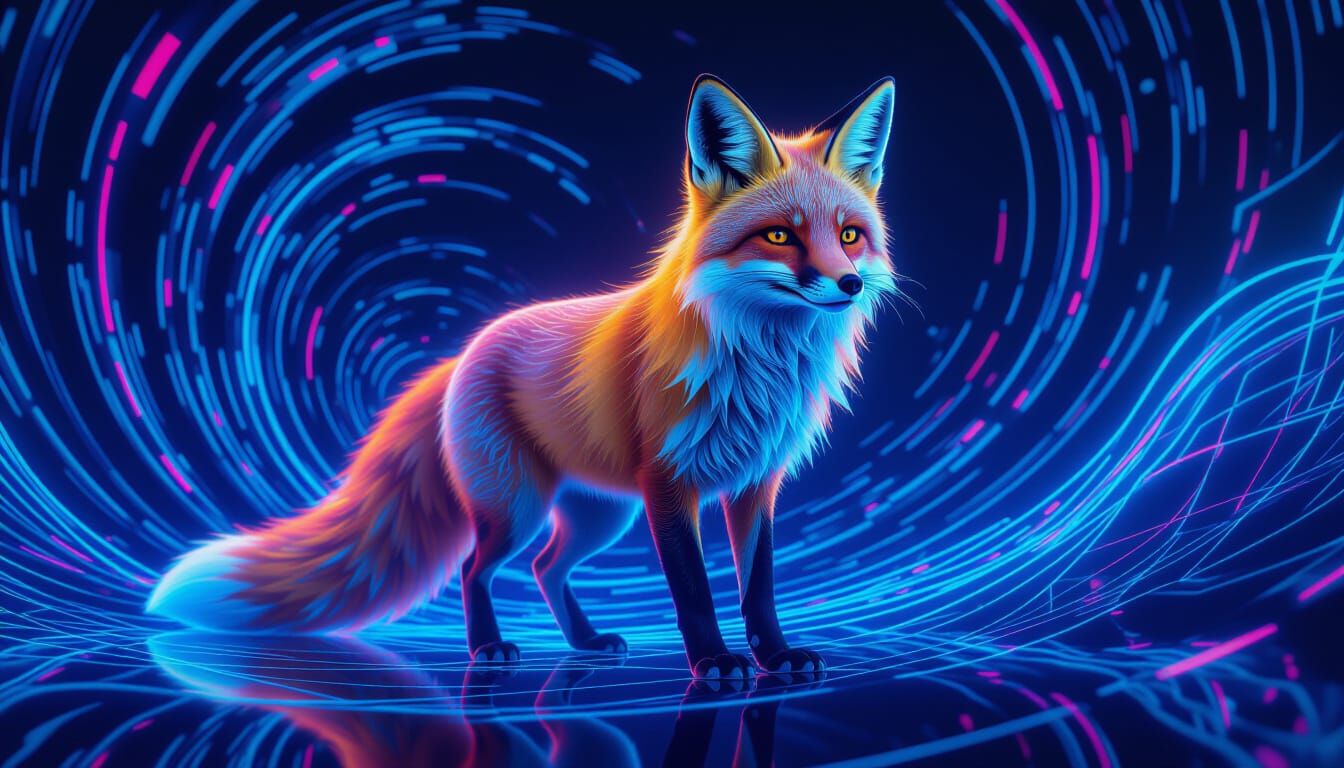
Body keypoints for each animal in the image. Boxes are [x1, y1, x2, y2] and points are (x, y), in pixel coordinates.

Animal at [148, 74, 898, 679]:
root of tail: (467, 349)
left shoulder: (755, 484)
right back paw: (488, 648)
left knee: (544, 566)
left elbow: (759, 588)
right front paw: (715, 662)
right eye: (779, 236)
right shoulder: (669, 485)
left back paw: (585, 643)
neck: (760, 363)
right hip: (518, 505)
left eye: (849, 234)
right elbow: (693, 591)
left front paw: (776, 657)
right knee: (476, 568)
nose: (849, 284)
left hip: (600, 512)